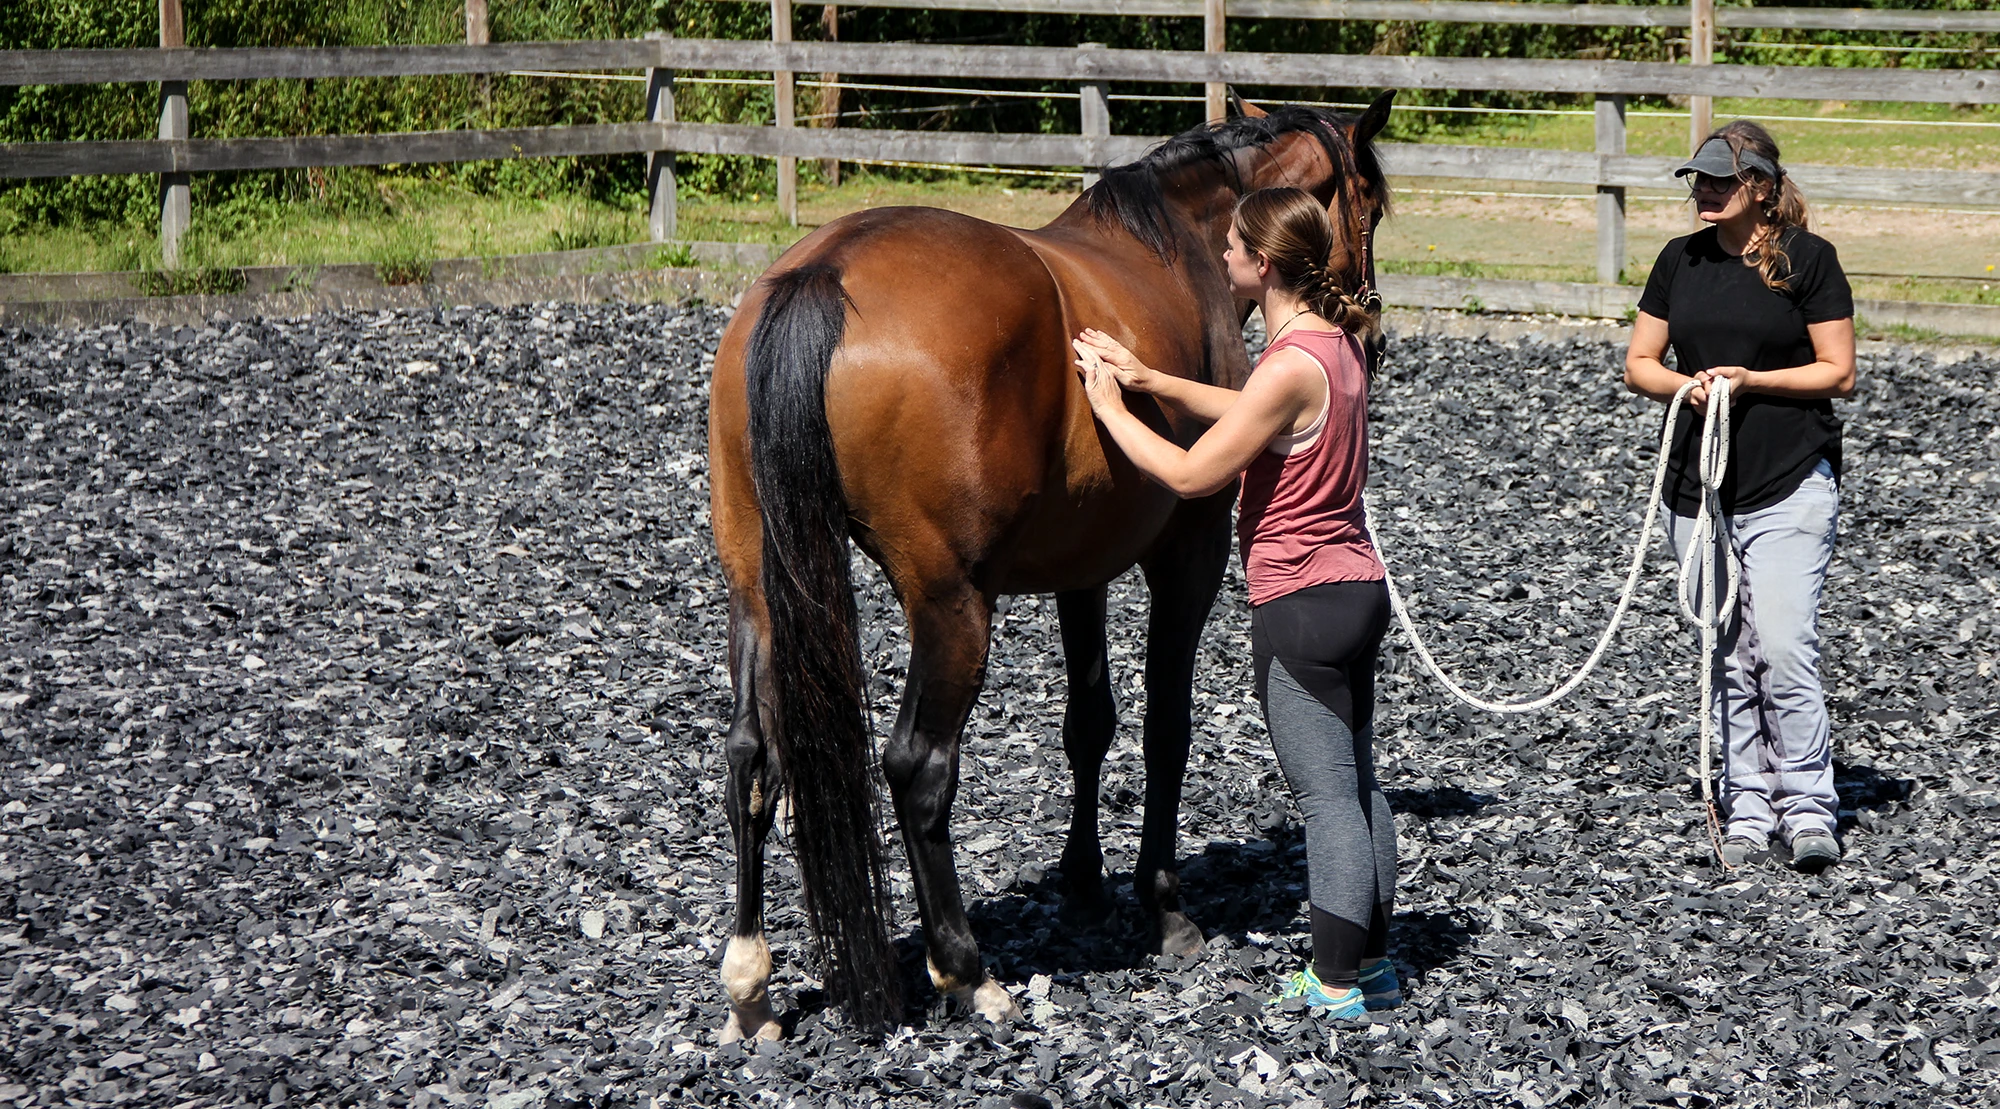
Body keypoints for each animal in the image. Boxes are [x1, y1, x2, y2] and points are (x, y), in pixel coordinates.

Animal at [705, 92, 1395, 1039]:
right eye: (1374, 206)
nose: (1373, 331)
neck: (1176, 244)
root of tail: (825, 273)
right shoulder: (1189, 553)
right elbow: (1165, 724)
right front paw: (1163, 907)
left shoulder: (1082, 566)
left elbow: (1088, 721)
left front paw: (1082, 883)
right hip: (951, 604)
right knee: (917, 766)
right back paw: (966, 971)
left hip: (759, 587)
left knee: (751, 757)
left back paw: (752, 986)